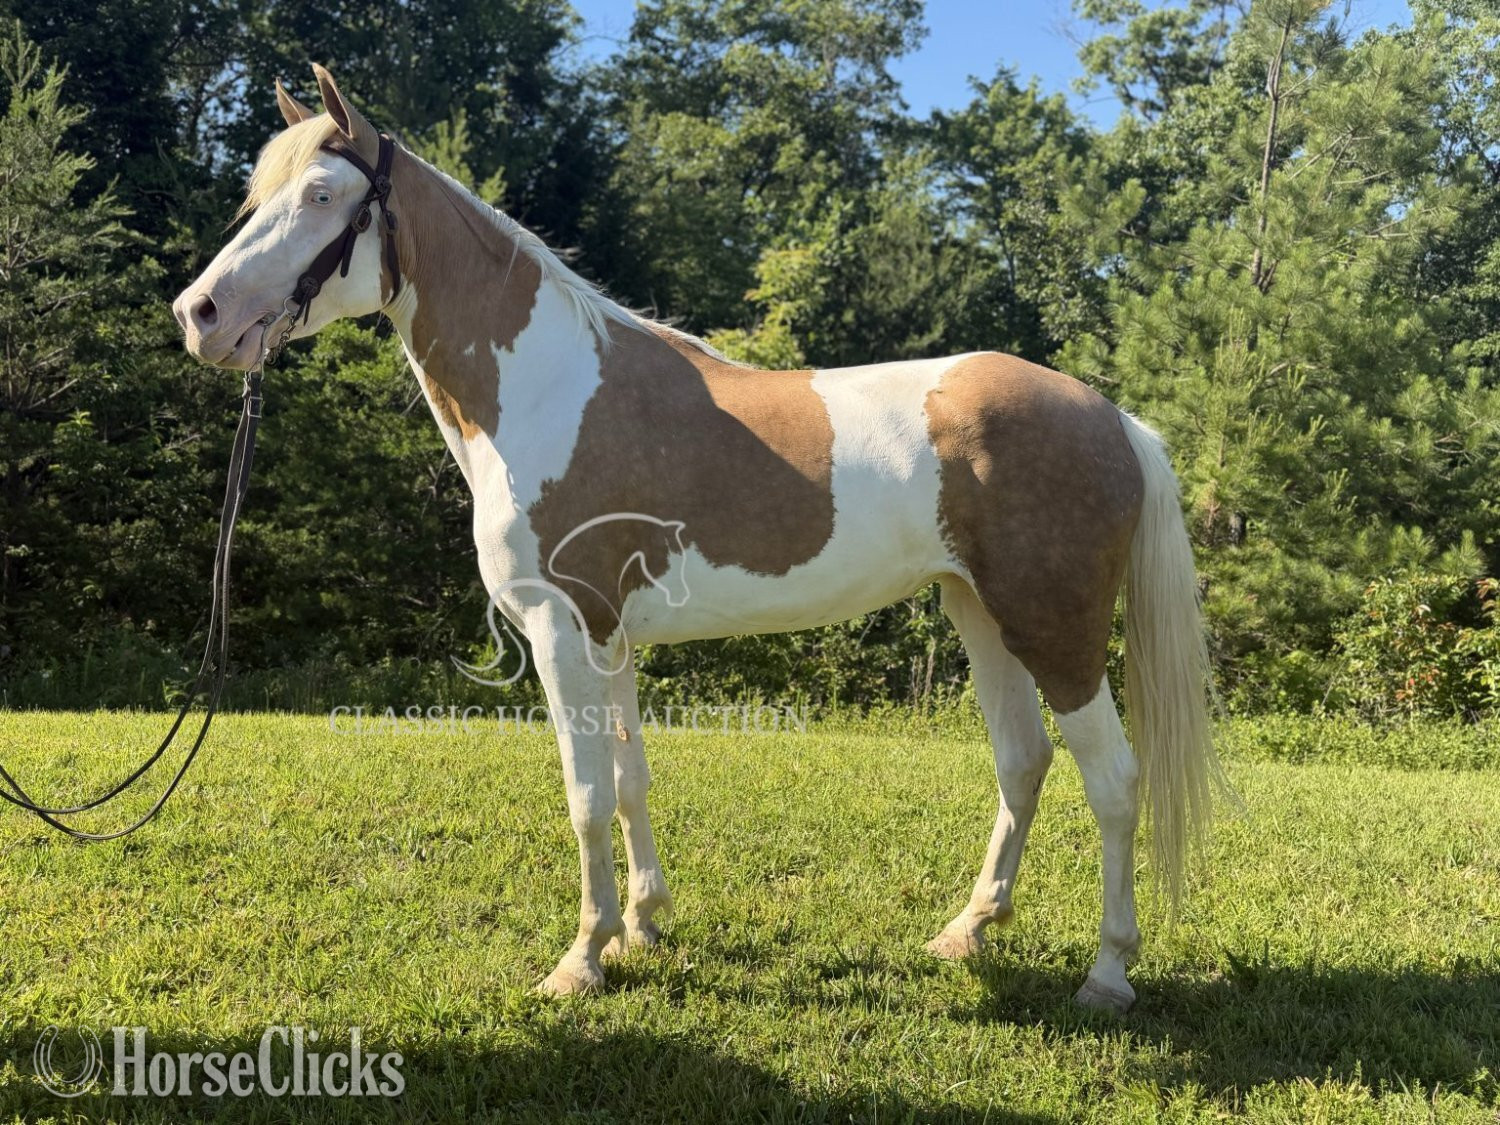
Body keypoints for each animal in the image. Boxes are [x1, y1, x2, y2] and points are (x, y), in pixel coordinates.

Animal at [173, 65, 1223, 1013]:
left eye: (321, 195)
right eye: (258, 193)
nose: (200, 315)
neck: (550, 390)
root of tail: (1115, 418)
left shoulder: (562, 627)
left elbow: (586, 794)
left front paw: (580, 961)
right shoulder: (611, 636)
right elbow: (631, 777)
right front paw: (641, 925)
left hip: (1055, 628)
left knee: (1114, 781)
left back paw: (1107, 973)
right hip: (980, 613)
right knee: (1024, 760)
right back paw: (966, 931)